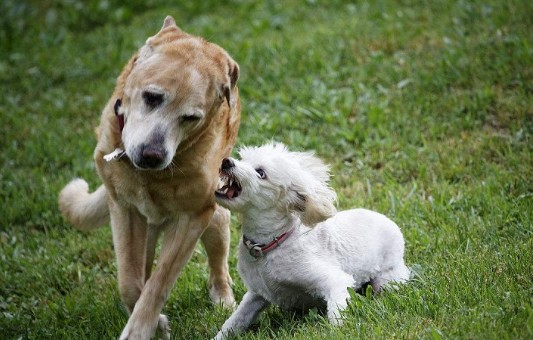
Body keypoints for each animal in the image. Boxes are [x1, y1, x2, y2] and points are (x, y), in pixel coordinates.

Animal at [58, 16, 239, 340]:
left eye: (190, 118)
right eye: (152, 97)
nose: (152, 155)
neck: (150, 177)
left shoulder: (193, 217)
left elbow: (159, 283)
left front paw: (140, 328)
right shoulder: (124, 209)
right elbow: (130, 282)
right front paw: (156, 322)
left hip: (214, 221)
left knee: (218, 262)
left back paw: (223, 298)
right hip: (146, 228)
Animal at [214, 143, 410, 338]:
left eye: (260, 172)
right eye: (243, 159)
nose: (226, 161)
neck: (270, 245)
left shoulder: (336, 282)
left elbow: (337, 315)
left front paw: (337, 331)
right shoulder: (256, 295)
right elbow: (234, 322)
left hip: (387, 279)